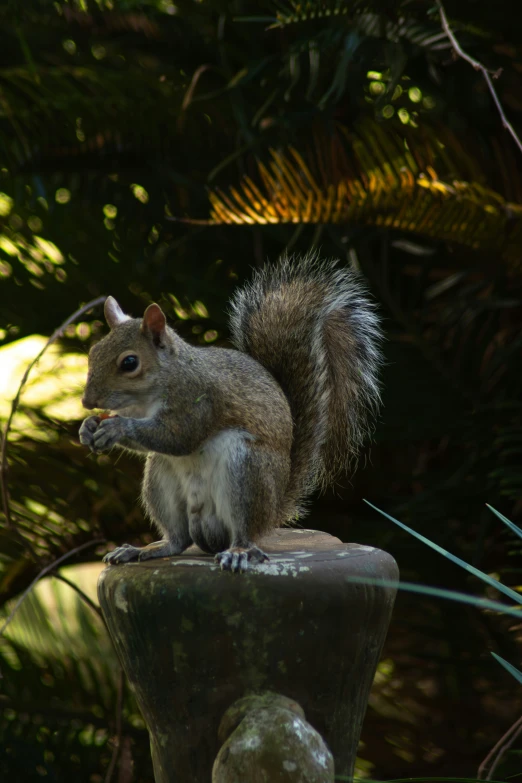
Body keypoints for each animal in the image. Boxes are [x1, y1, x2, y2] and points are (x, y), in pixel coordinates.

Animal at [80, 254, 382, 572]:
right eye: (93, 352)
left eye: (129, 363)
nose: (87, 401)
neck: (150, 395)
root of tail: (272, 513)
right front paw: (87, 427)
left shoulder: (200, 401)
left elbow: (178, 437)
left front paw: (117, 428)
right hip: (160, 477)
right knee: (179, 539)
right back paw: (145, 548)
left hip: (246, 471)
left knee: (243, 533)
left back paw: (238, 551)